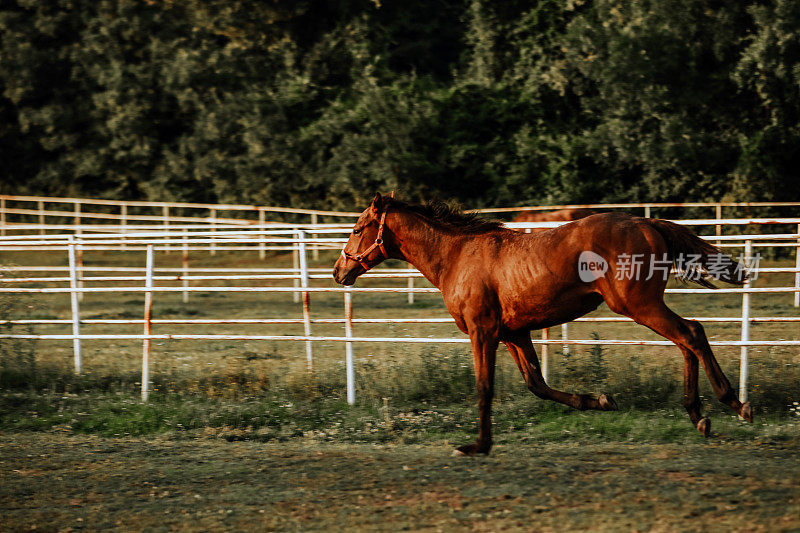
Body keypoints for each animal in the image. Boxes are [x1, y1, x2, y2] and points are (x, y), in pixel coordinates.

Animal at [332, 194, 752, 454]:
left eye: (356, 229)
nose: (339, 271)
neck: (457, 256)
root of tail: (647, 223)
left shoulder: (482, 331)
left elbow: (484, 387)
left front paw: (477, 445)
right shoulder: (514, 334)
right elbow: (537, 384)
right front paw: (599, 400)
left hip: (638, 304)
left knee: (691, 333)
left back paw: (734, 404)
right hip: (644, 305)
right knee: (687, 338)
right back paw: (699, 417)